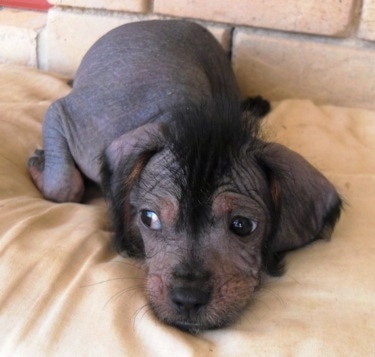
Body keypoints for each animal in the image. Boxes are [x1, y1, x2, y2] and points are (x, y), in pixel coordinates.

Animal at [27, 18, 342, 330]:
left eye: (243, 226)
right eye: (148, 218)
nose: (188, 298)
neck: (186, 114)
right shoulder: (67, 118)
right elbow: (63, 187)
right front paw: (40, 167)